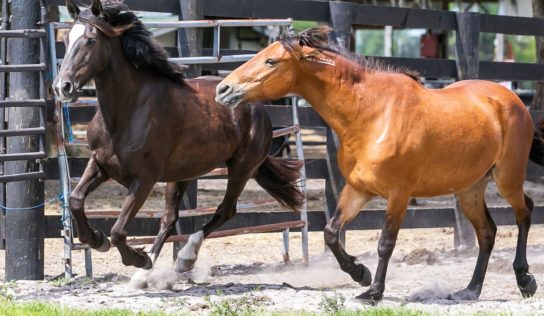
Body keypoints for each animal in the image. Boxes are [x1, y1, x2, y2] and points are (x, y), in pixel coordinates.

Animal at [53, 0, 304, 274]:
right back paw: (147, 274)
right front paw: (97, 240)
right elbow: (76, 200)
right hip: (183, 174)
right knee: (170, 218)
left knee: (225, 211)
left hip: (241, 168)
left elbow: (118, 231)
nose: (62, 87)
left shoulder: (144, 180)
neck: (127, 112)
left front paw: (138, 258)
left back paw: (183, 258)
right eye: (65, 39)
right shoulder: (100, 164)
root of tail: (258, 108)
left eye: (91, 40)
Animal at [216, 27, 540, 302]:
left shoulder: (399, 194)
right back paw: (470, 291)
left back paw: (525, 280)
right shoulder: (358, 189)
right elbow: (331, 232)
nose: (223, 89)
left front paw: (373, 291)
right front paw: (360, 273)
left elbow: (386, 242)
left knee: (525, 212)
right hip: (469, 189)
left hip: (507, 178)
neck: (372, 114)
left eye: (271, 61)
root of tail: (511, 99)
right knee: (487, 232)